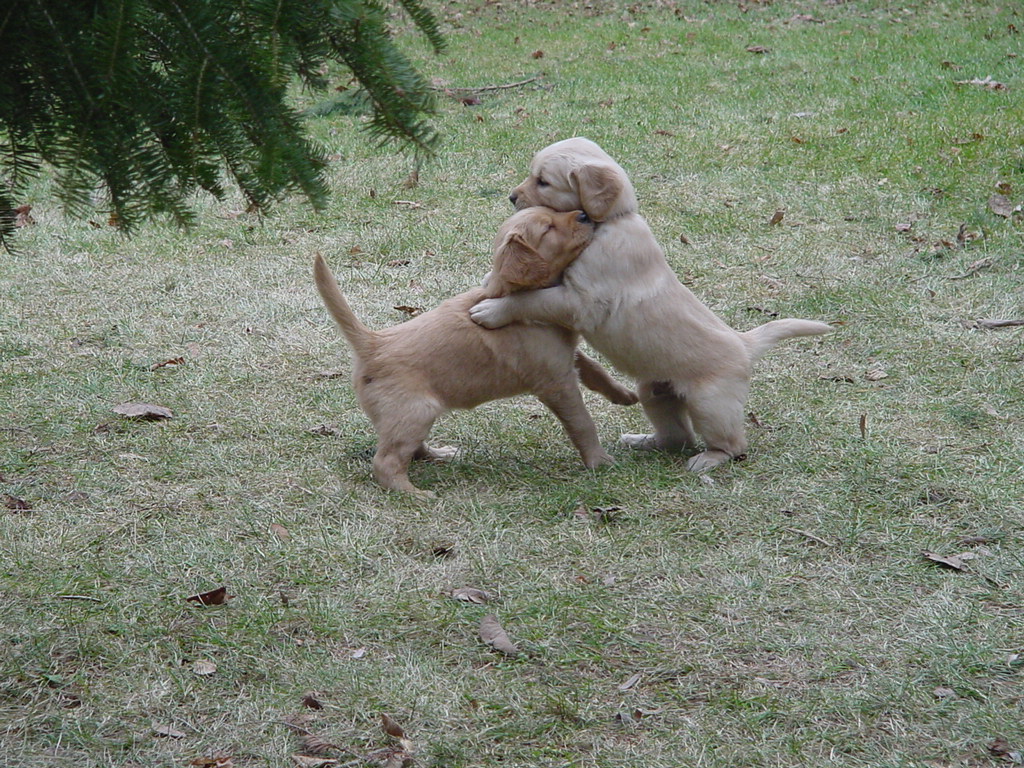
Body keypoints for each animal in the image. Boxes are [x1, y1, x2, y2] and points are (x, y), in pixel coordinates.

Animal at [311, 205, 634, 493]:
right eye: (548, 228)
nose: (584, 215)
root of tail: (373, 342)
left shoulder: (564, 354)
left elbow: (594, 368)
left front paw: (622, 394)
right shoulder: (556, 382)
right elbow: (581, 422)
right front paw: (598, 460)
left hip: (408, 416)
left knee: (411, 449)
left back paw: (440, 455)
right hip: (415, 410)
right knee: (386, 462)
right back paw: (413, 493)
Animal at [471, 140, 831, 473]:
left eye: (543, 181)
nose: (512, 198)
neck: (610, 223)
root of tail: (744, 343)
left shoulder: (582, 301)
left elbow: (534, 300)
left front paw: (492, 310)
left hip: (710, 402)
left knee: (732, 443)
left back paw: (709, 458)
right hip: (654, 391)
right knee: (676, 437)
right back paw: (643, 441)